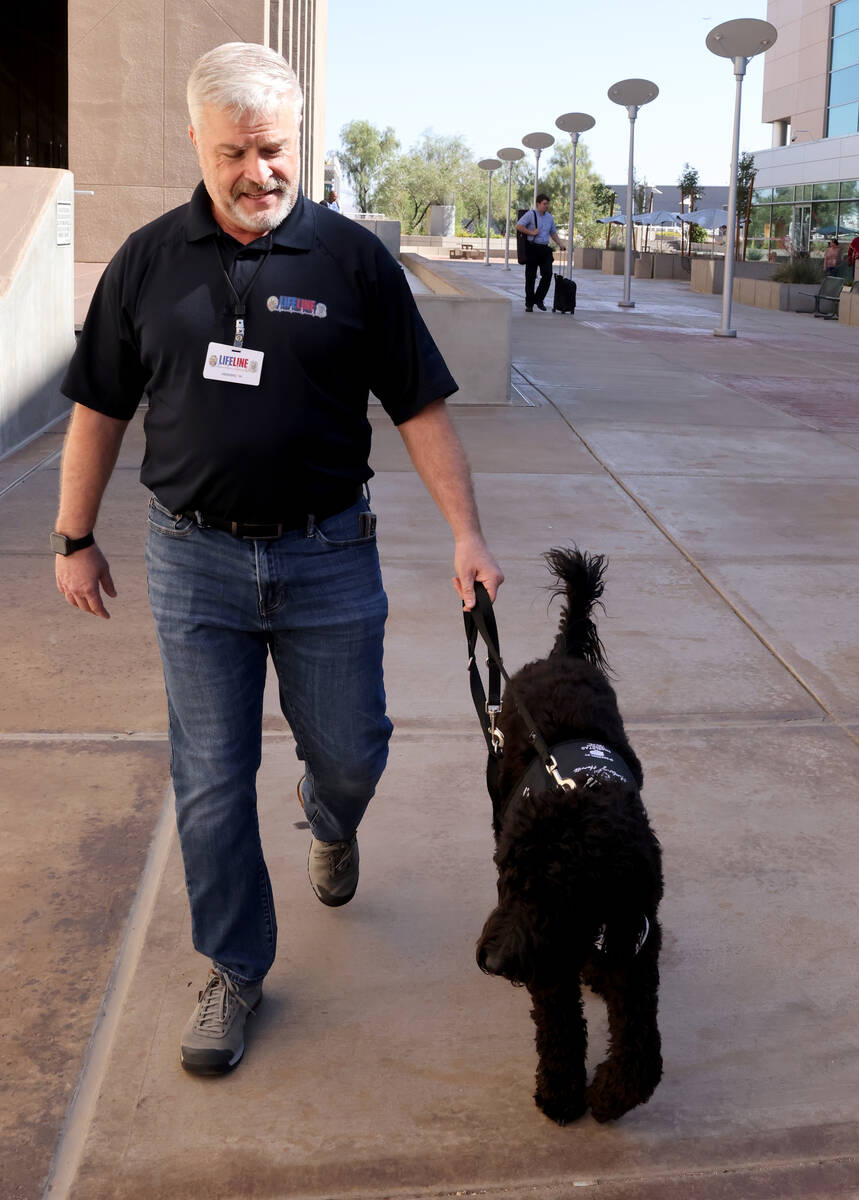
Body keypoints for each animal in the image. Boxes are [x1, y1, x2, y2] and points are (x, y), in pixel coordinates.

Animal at [477, 549, 662, 1128]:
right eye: (506, 883)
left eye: (551, 894)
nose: (493, 962)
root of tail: (559, 657)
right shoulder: (548, 961)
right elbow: (558, 1027)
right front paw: (562, 1094)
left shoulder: (636, 941)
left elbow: (642, 1048)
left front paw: (610, 1095)